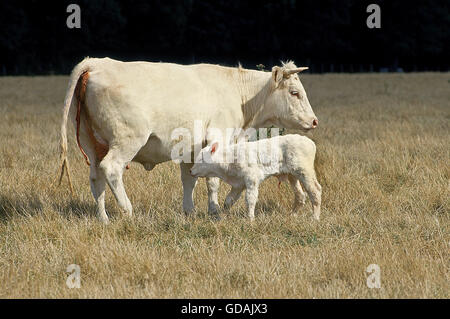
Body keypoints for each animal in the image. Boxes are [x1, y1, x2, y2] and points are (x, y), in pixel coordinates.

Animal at [188, 134, 322, 221]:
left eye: (201, 159)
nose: (190, 170)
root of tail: (311, 142)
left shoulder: (251, 179)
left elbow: (250, 199)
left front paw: (250, 219)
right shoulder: (238, 184)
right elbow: (228, 201)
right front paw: (223, 216)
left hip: (304, 171)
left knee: (315, 190)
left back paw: (314, 218)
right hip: (292, 175)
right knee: (301, 195)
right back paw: (292, 215)